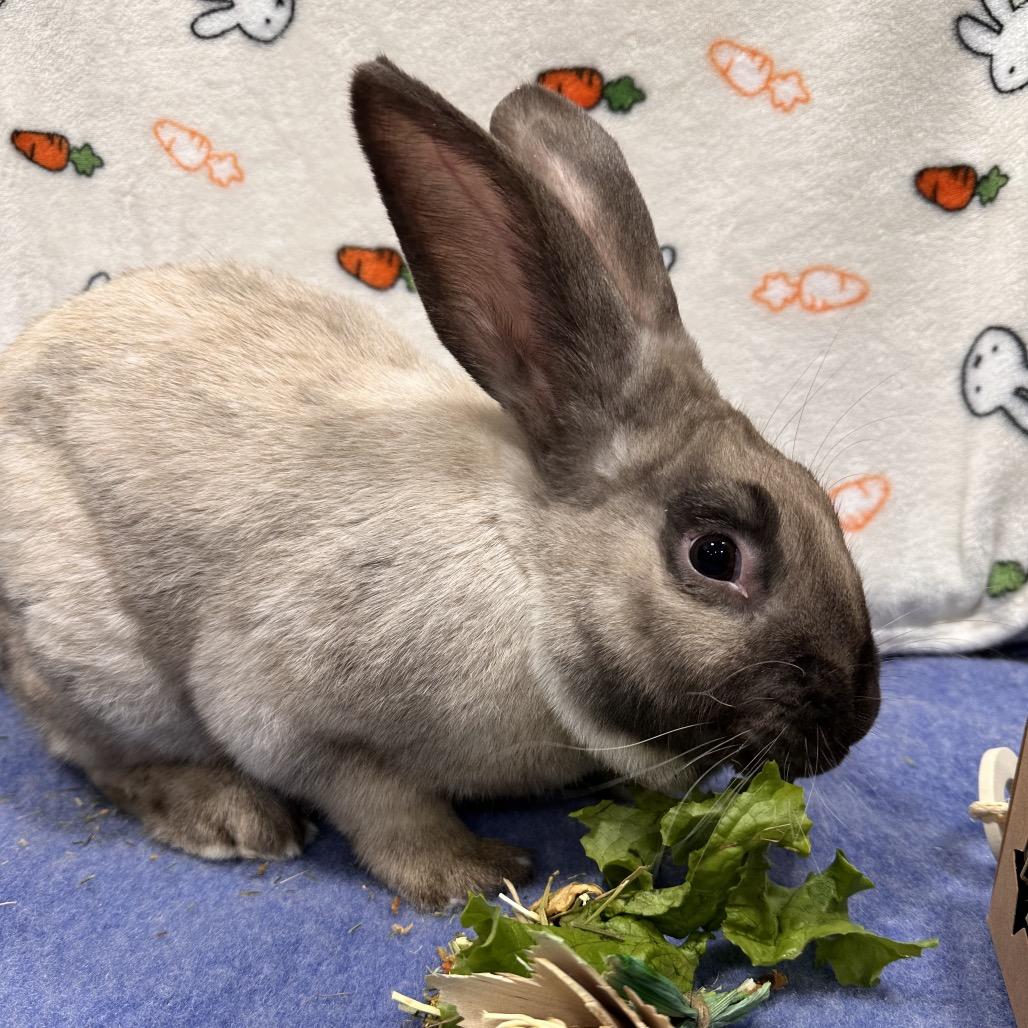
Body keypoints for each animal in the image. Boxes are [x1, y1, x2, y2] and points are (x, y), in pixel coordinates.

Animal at [0, 58, 880, 910]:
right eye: (713, 554)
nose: (857, 721)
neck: (532, 574)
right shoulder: (291, 717)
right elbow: (383, 806)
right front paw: (469, 874)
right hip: (102, 666)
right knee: (95, 751)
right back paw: (228, 815)